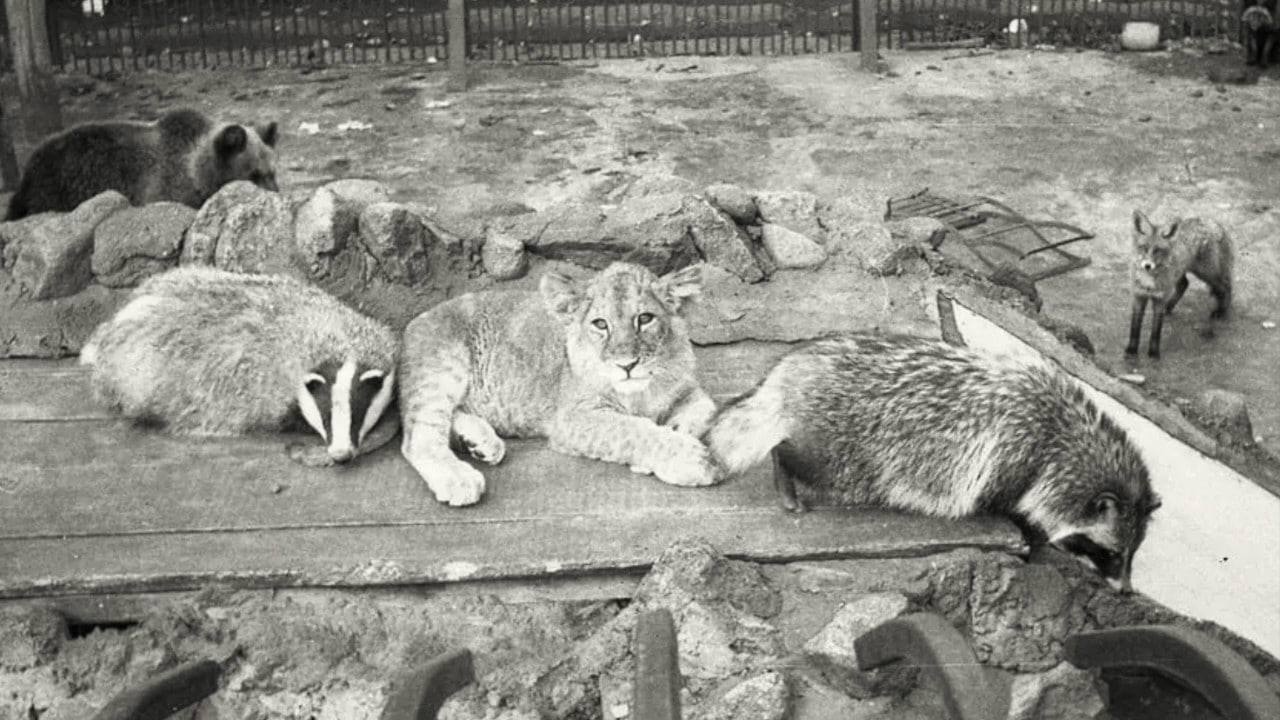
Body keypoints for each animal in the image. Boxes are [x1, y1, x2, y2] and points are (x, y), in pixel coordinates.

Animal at [706, 330, 1167, 589]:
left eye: (1133, 553)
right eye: (1111, 552)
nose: (1125, 590)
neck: (1065, 438)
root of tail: (788, 371)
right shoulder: (1012, 453)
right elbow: (1008, 502)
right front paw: (1036, 537)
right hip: (839, 444)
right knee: (803, 457)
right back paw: (783, 470)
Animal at [1131, 208, 1228, 356]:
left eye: (1158, 250)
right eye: (1143, 247)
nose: (1147, 265)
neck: (1149, 281)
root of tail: (1210, 221)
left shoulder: (1159, 298)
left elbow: (1156, 330)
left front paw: (1153, 353)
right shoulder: (1138, 296)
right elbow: (1134, 329)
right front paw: (1130, 352)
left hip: (1206, 273)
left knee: (1224, 286)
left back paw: (1221, 313)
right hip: (1181, 273)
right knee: (1184, 284)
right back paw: (1169, 308)